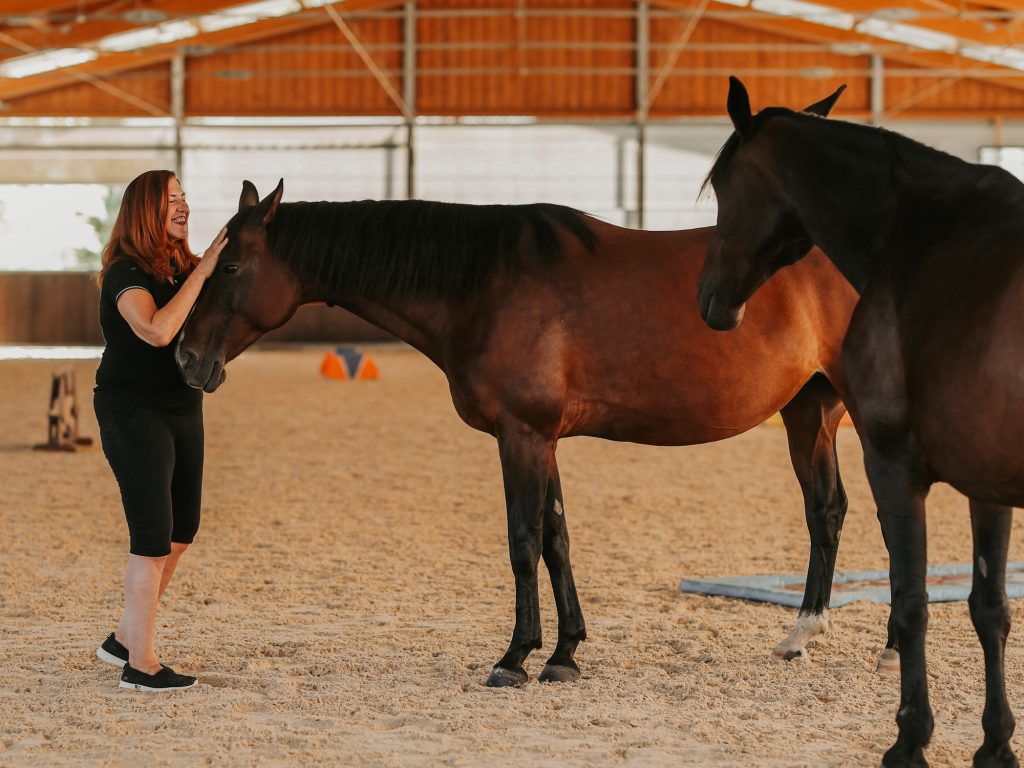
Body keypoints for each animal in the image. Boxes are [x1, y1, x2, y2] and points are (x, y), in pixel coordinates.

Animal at [176, 179, 859, 687]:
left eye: (229, 265)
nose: (186, 357)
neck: (483, 285)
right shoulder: (543, 439)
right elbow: (557, 537)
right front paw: (565, 654)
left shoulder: (521, 435)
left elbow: (524, 540)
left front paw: (515, 657)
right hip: (809, 411)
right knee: (825, 510)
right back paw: (802, 634)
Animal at [697, 76, 1022, 768]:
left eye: (722, 187)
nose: (709, 299)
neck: (922, 241)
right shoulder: (987, 486)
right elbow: (988, 607)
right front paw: (995, 745)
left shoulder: (893, 464)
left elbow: (912, 600)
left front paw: (909, 738)